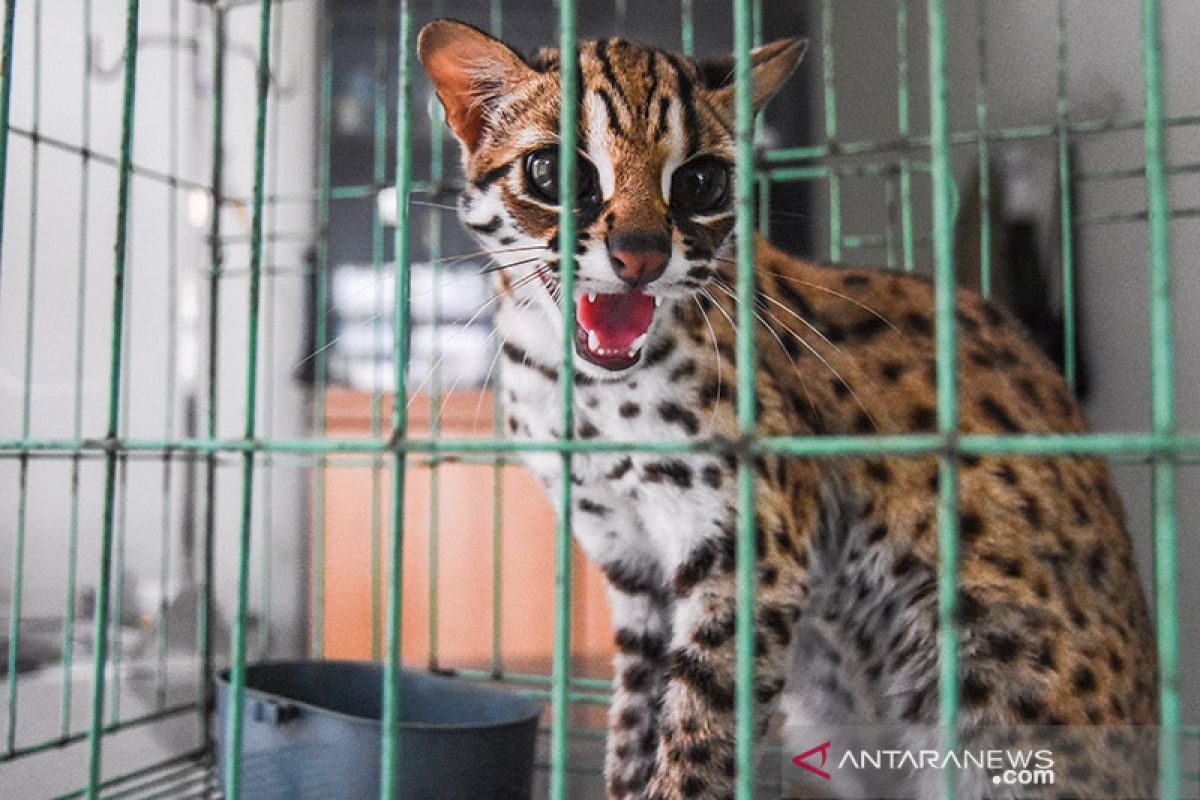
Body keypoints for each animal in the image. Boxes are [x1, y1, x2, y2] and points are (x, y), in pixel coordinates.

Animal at [417, 18, 1156, 800]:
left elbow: (699, 728)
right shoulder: (633, 566)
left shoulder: (749, 548)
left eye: (700, 182)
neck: (575, 385)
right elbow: (636, 726)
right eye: (554, 174)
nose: (640, 255)